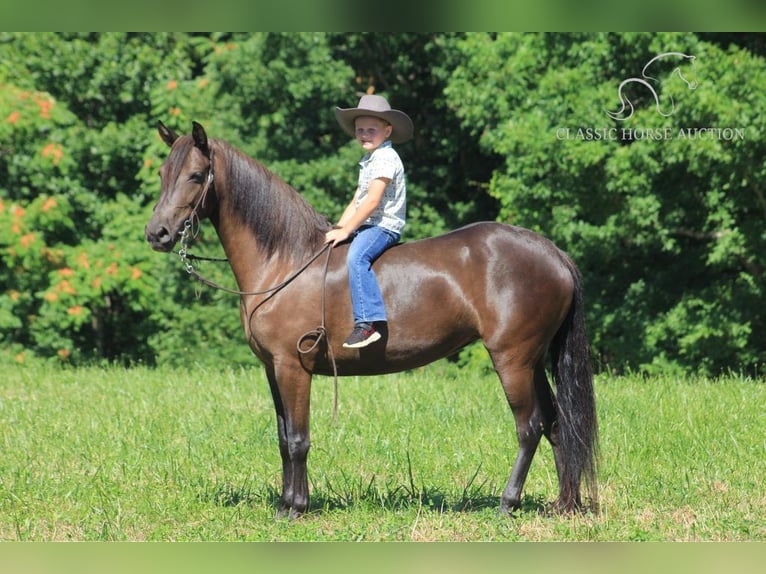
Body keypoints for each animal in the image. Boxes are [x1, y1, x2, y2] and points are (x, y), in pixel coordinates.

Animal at [144, 119, 600, 520]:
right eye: (164, 173)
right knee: (557, 424)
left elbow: (298, 439)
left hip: (512, 359)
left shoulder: (293, 368)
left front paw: (296, 508)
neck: (284, 262)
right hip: (533, 361)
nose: (157, 234)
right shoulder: (273, 369)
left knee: (530, 426)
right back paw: (565, 505)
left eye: (196, 175)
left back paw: (508, 503)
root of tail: (552, 252)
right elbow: (282, 438)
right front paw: (285, 503)